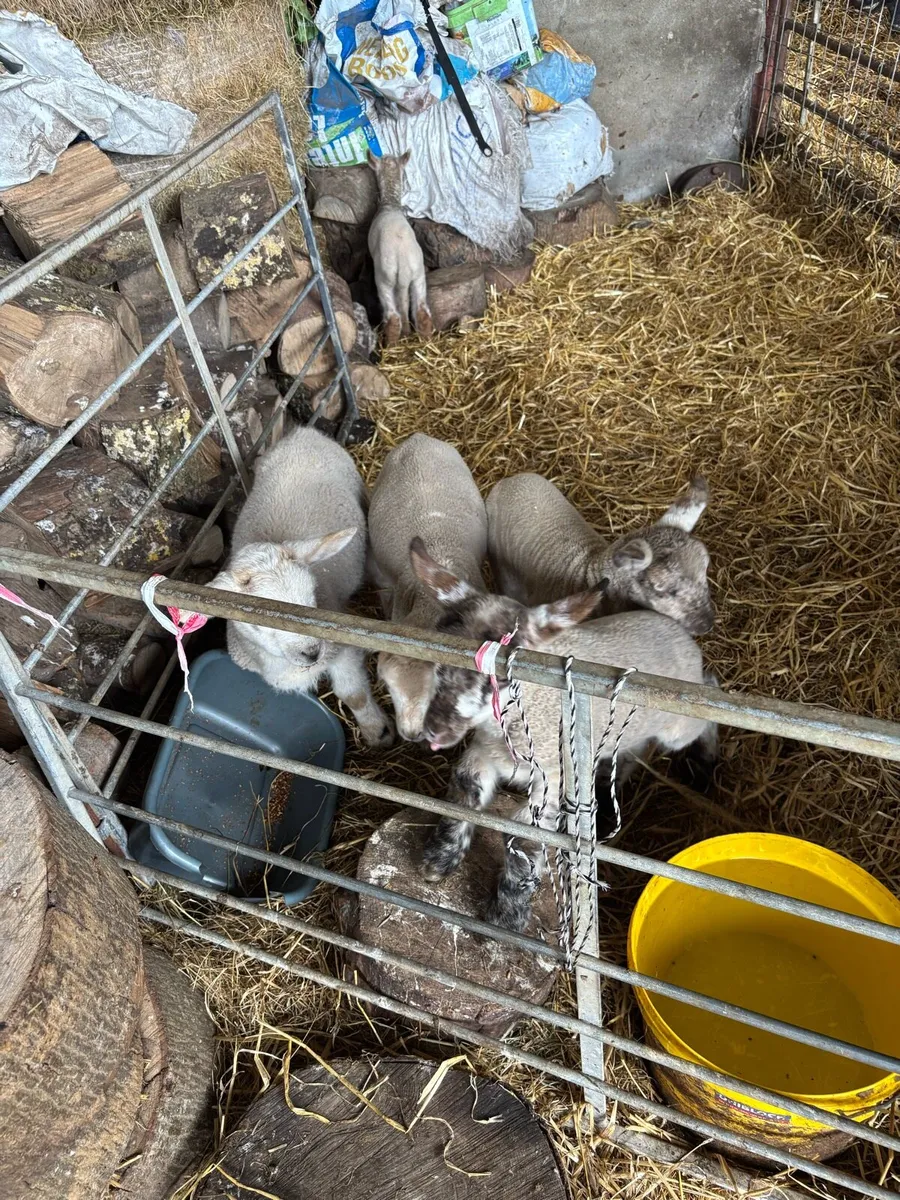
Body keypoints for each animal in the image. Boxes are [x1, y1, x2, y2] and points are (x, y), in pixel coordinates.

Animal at [209, 426, 394, 748]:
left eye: (311, 598)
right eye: (254, 619)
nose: (312, 652)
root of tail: (303, 431)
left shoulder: (342, 649)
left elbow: (354, 695)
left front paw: (378, 731)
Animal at [368, 151, 433, 346]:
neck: (390, 205)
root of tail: (403, 264)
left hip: (384, 279)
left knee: (394, 317)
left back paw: (390, 345)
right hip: (418, 274)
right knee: (422, 312)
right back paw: (426, 341)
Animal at [407, 538, 718, 932]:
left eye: (501, 679)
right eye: (438, 660)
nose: (434, 730)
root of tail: (678, 631)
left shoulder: (552, 780)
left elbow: (524, 837)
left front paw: (507, 916)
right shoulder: (483, 752)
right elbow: (465, 788)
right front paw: (438, 859)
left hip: (678, 724)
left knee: (707, 699)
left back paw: (705, 764)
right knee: (629, 751)